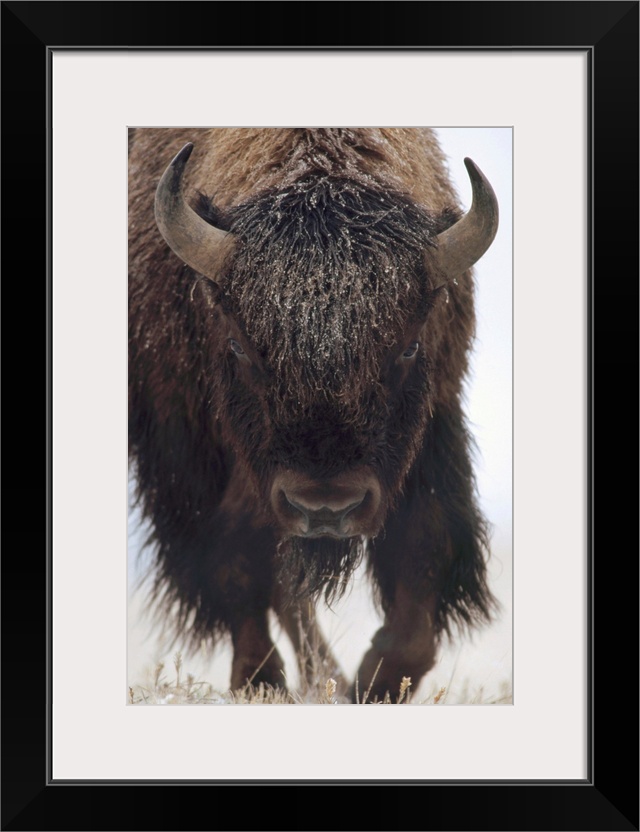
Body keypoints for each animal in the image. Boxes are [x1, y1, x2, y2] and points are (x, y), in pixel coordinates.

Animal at [127, 128, 500, 704]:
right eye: (238, 346)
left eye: (409, 347)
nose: (325, 508)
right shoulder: (183, 447)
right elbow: (234, 559)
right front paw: (260, 680)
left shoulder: (434, 423)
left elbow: (425, 548)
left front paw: (374, 681)